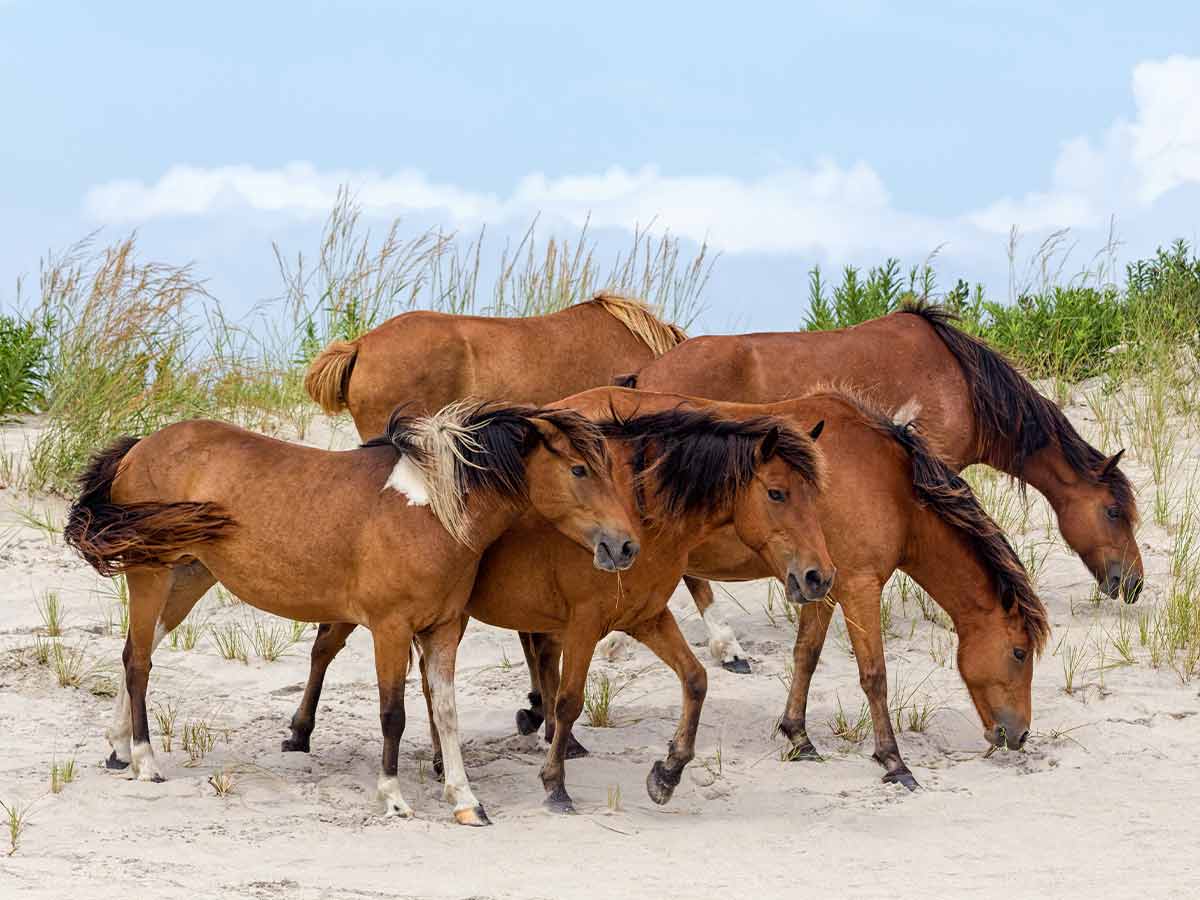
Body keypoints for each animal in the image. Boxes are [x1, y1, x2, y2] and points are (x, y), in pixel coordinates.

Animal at [64, 401, 640, 826]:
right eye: (579, 469)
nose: (624, 546)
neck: (430, 511)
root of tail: (140, 446)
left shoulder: (443, 630)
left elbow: (446, 714)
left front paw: (465, 801)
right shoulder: (390, 628)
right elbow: (394, 714)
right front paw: (393, 797)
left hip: (189, 576)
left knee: (134, 652)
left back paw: (118, 749)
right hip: (151, 573)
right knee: (140, 662)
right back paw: (145, 761)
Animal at [279, 388, 837, 812]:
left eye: (816, 496)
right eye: (777, 493)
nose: (818, 577)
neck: (642, 515)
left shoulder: (647, 618)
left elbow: (696, 680)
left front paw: (668, 773)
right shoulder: (586, 622)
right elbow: (570, 700)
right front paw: (556, 784)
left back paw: (443, 761)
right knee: (325, 648)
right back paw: (300, 733)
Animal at [519, 388, 1051, 789]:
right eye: (1019, 653)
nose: (1020, 734)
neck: (888, 482)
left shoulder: (823, 584)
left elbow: (806, 656)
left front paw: (798, 736)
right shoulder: (859, 587)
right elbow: (874, 675)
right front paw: (894, 762)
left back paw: (543, 719)